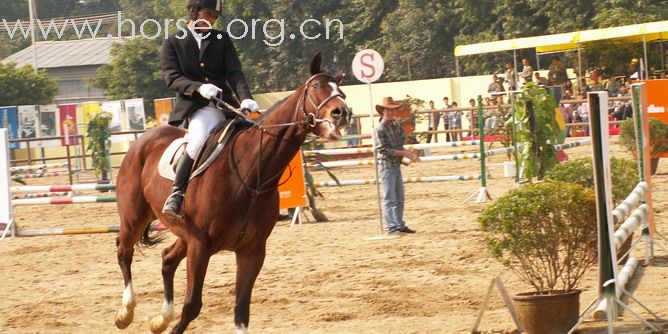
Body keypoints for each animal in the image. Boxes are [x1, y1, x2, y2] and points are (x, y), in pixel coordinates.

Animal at [113, 53, 350, 332]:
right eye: (315, 87)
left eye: (340, 91)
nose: (342, 113)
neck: (250, 174)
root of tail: (142, 140)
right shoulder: (200, 246)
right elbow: (192, 306)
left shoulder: (251, 251)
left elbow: (241, 309)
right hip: (135, 218)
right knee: (124, 251)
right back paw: (125, 312)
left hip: (182, 235)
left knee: (167, 258)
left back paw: (161, 318)